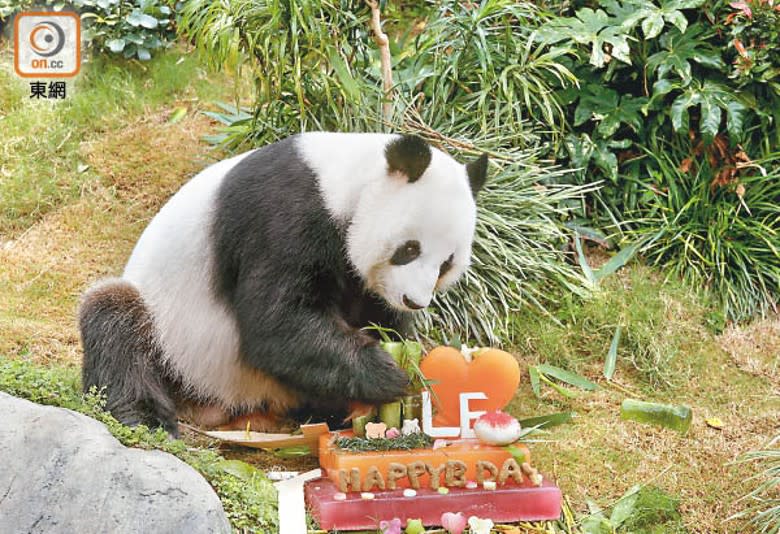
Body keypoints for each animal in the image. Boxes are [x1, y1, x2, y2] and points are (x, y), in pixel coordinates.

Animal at [80, 133, 488, 436]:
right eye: (409, 249)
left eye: (447, 263)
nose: (414, 301)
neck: (346, 180)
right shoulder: (284, 214)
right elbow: (276, 324)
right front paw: (387, 373)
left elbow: (370, 311)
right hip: (172, 339)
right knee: (114, 319)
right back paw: (144, 417)